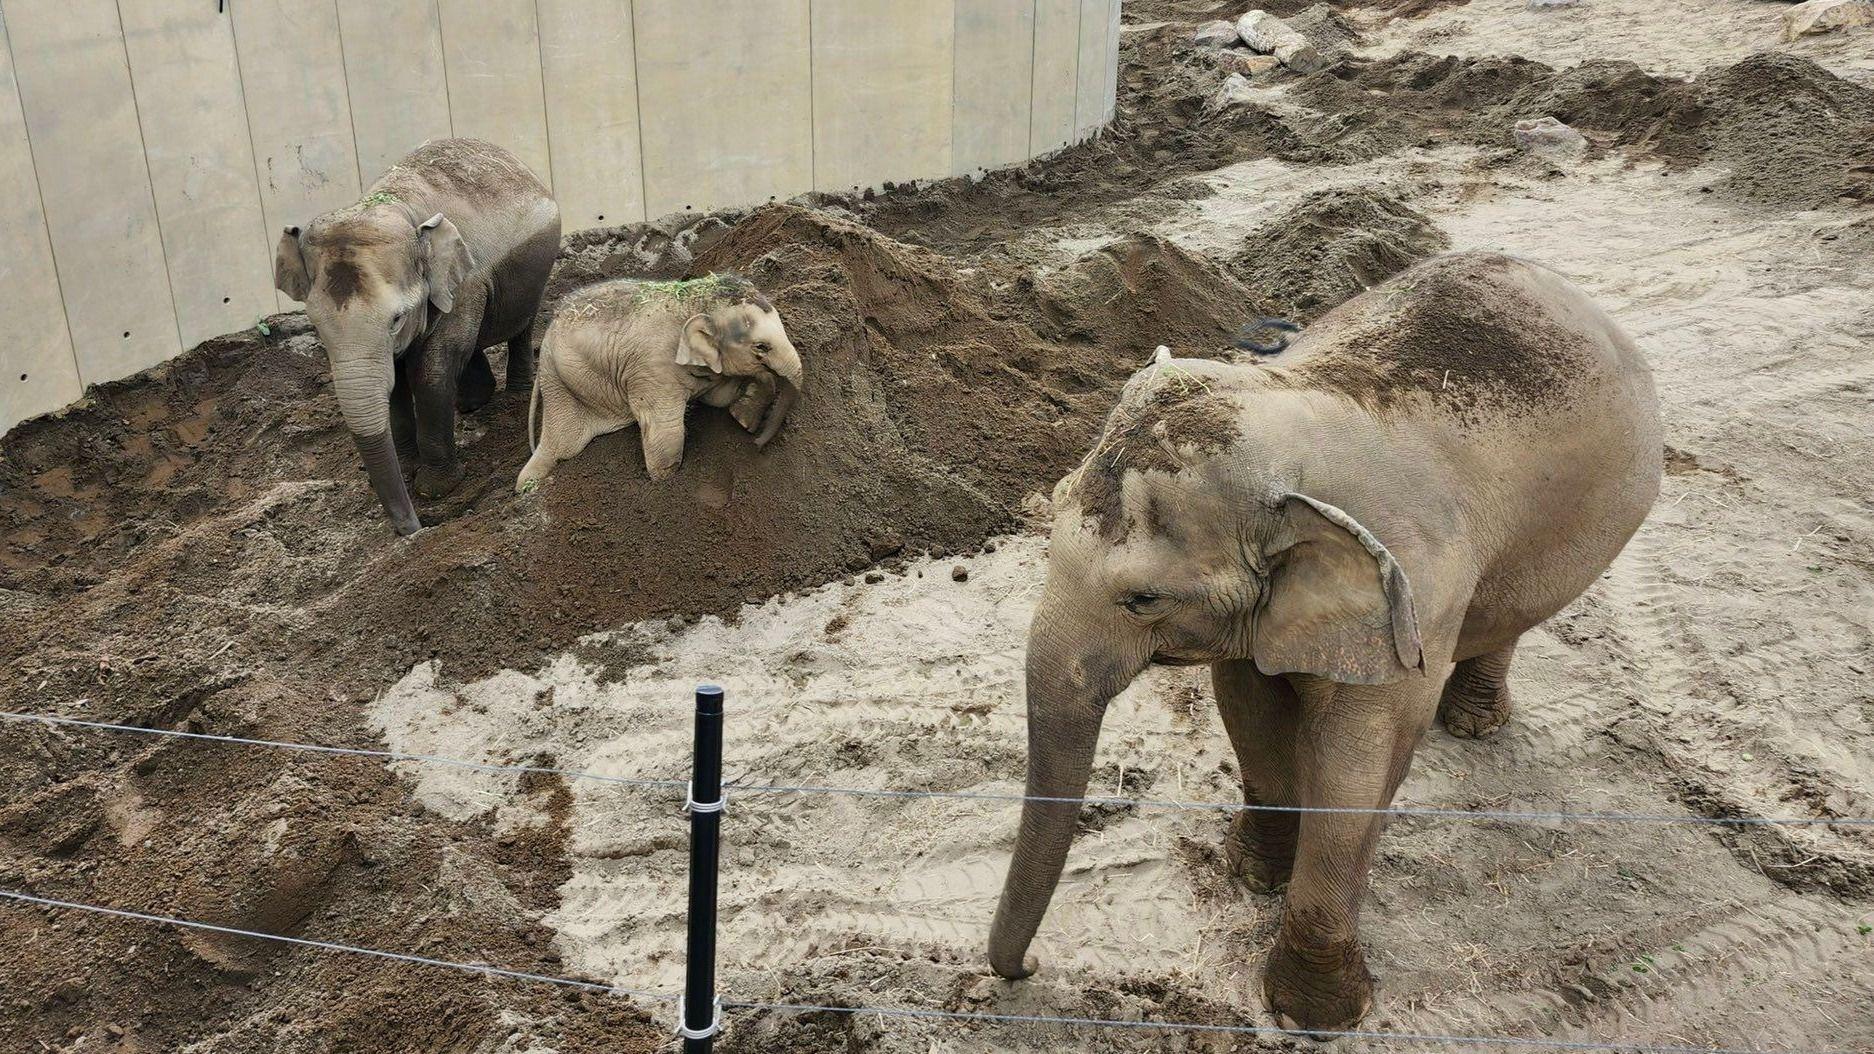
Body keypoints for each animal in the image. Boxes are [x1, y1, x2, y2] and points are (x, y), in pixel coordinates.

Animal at [271, 137, 558, 532]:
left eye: (396, 319)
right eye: (314, 324)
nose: (414, 529)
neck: (394, 206)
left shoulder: (465, 282)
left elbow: (432, 371)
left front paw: (435, 489)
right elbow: (395, 380)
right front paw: (408, 469)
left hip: (536, 271)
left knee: (520, 325)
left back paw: (512, 394)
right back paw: (471, 403)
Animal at [517, 268, 802, 487]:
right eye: (761, 347)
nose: (756, 444)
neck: (692, 300)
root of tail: (548, 331)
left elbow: (719, 398)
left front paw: (743, 417)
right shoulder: (653, 370)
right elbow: (665, 428)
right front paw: (664, 484)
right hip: (560, 384)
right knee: (562, 446)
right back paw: (527, 488)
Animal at [989, 253, 1664, 1027]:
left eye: (1143, 599)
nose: (1029, 968)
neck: (1295, 415)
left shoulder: (1416, 597)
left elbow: (1354, 766)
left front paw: (1313, 1016)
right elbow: (1250, 714)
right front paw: (1254, 876)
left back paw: (1471, 726)